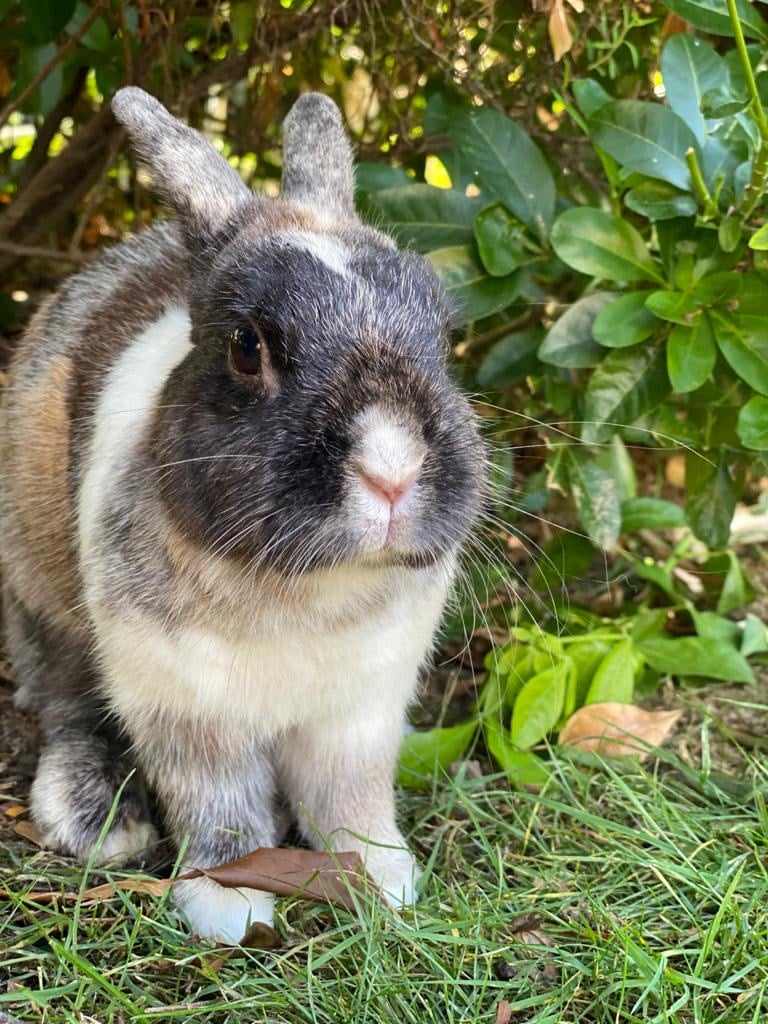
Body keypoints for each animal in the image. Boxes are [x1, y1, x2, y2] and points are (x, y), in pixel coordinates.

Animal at [0, 90, 483, 942]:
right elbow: (218, 805)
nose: (392, 470)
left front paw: (384, 877)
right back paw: (95, 817)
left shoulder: (358, 714)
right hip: (40, 594)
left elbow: (351, 797)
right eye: (246, 346)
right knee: (66, 703)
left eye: (443, 333)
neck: (310, 589)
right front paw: (228, 901)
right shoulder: (190, 714)